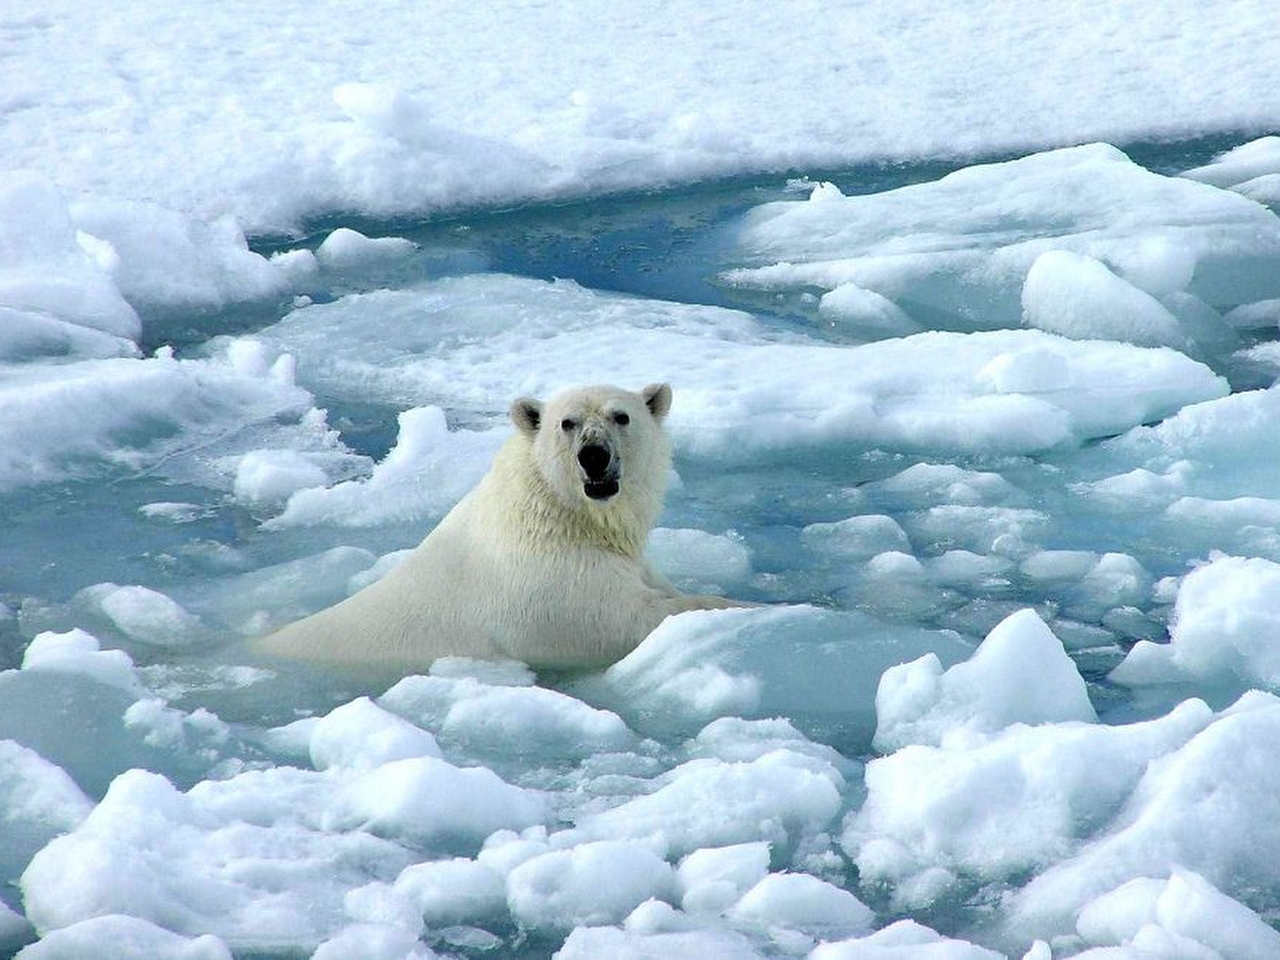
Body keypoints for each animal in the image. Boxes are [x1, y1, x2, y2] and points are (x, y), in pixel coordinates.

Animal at [253, 378, 747, 670]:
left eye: (621, 416)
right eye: (566, 423)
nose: (594, 456)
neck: (560, 515)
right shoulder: (549, 588)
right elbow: (624, 620)